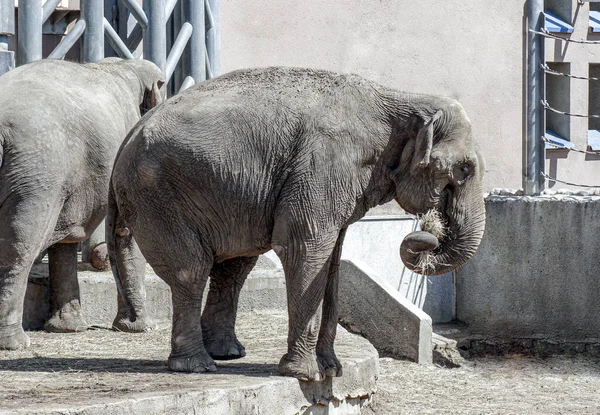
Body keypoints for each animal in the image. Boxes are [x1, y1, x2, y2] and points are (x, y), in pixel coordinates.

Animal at [0, 57, 164, 352]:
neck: (121, 65)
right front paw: (144, 328)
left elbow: (66, 239)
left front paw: (67, 329)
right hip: (37, 176)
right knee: (19, 248)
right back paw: (15, 343)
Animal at [106, 66, 482, 382]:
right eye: (465, 169)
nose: (428, 231)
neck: (404, 99)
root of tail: (128, 135)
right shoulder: (323, 166)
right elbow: (305, 248)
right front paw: (305, 374)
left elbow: (332, 262)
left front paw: (332, 370)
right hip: (157, 193)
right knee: (192, 268)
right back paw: (197, 365)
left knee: (234, 266)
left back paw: (228, 354)